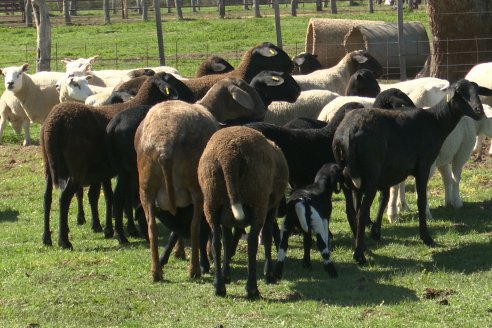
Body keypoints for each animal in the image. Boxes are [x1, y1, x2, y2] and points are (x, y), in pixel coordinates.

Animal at [41, 72, 190, 251]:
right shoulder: (125, 170)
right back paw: (64, 241)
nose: (189, 95)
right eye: (170, 79)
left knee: (47, 198)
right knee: (64, 199)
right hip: (78, 168)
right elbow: (123, 197)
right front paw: (126, 229)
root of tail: (52, 125)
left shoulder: (110, 171)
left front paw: (111, 228)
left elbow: (111, 197)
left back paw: (47, 238)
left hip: (49, 166)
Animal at [135, 77, 270, 282]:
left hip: (146, 187)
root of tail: (164, 147)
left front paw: (178, 252)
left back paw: (156, 271)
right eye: (245, 88)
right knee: (195, 226)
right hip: (196, 188)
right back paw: (195, 269)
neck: (209, 109)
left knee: (152, 228)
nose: (263, 109)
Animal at [197, 124, 288, 298]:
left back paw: (219, 286)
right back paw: (252, 288)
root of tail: (228, 156)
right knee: (252, 241)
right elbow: (267, 236)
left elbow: (227, 241)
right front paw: (269, 275)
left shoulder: (225, 219)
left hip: (211, 201)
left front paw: (226, 275)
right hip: (258, 200)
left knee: (216, 242)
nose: (283, 211)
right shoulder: (270, 208)